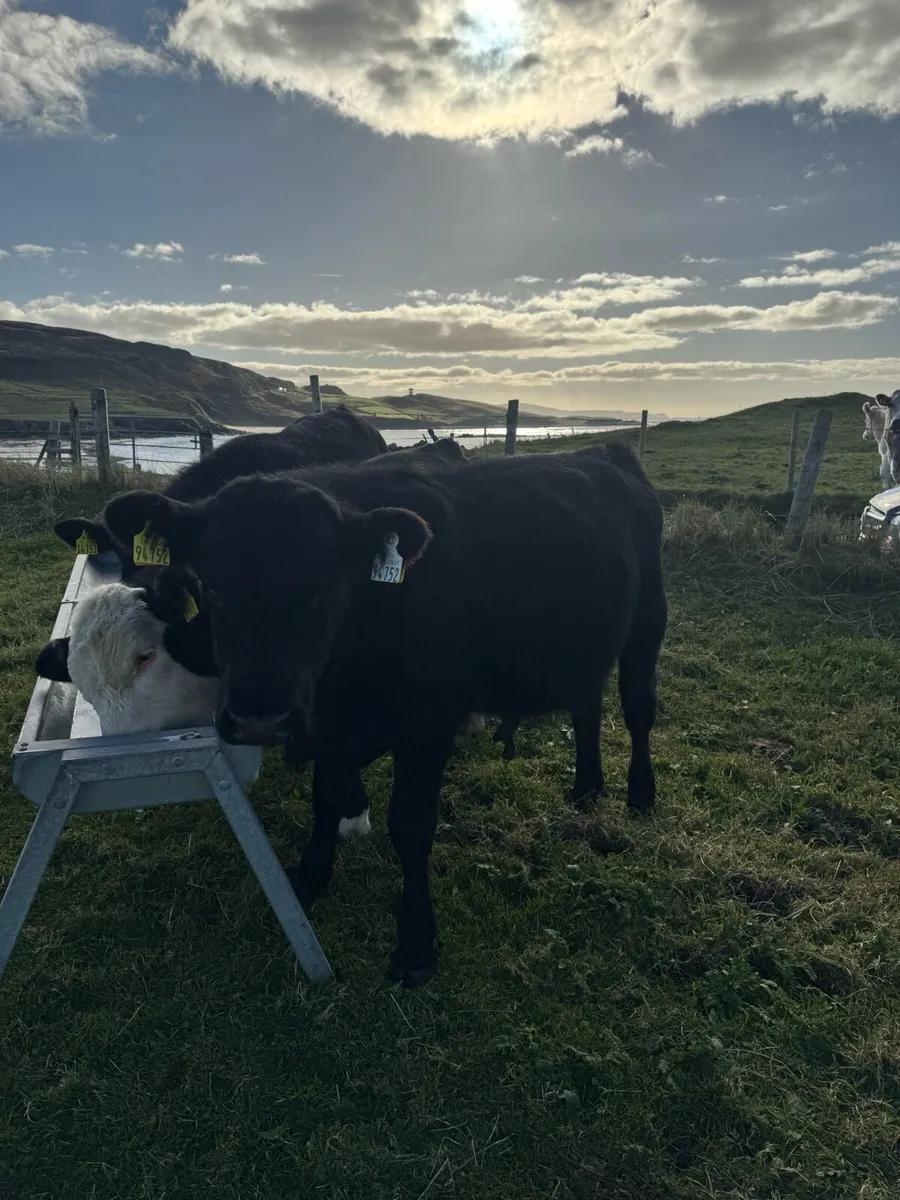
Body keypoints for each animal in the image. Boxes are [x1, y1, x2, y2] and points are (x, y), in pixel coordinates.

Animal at [102, 441, 667, 986]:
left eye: (323, 586)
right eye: (212, 585)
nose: (261, 720)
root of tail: (607, 453)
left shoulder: (429, 720)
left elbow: (411, 825)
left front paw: (416, 941)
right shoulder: (330, 722)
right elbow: (326, 798)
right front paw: (309, 878)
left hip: (649, 621)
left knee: (638, 710)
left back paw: (640, 794)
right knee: (587, 705)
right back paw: (587, 788)